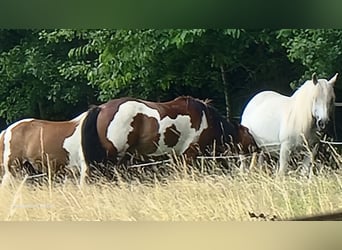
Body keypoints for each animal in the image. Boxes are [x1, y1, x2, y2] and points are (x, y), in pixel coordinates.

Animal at [81, 95, 256, 174]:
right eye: (249, 135)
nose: (257, 148)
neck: (207, 119)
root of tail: (101, 108)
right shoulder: (189, 155)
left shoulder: (177, 157)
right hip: (115, 157)